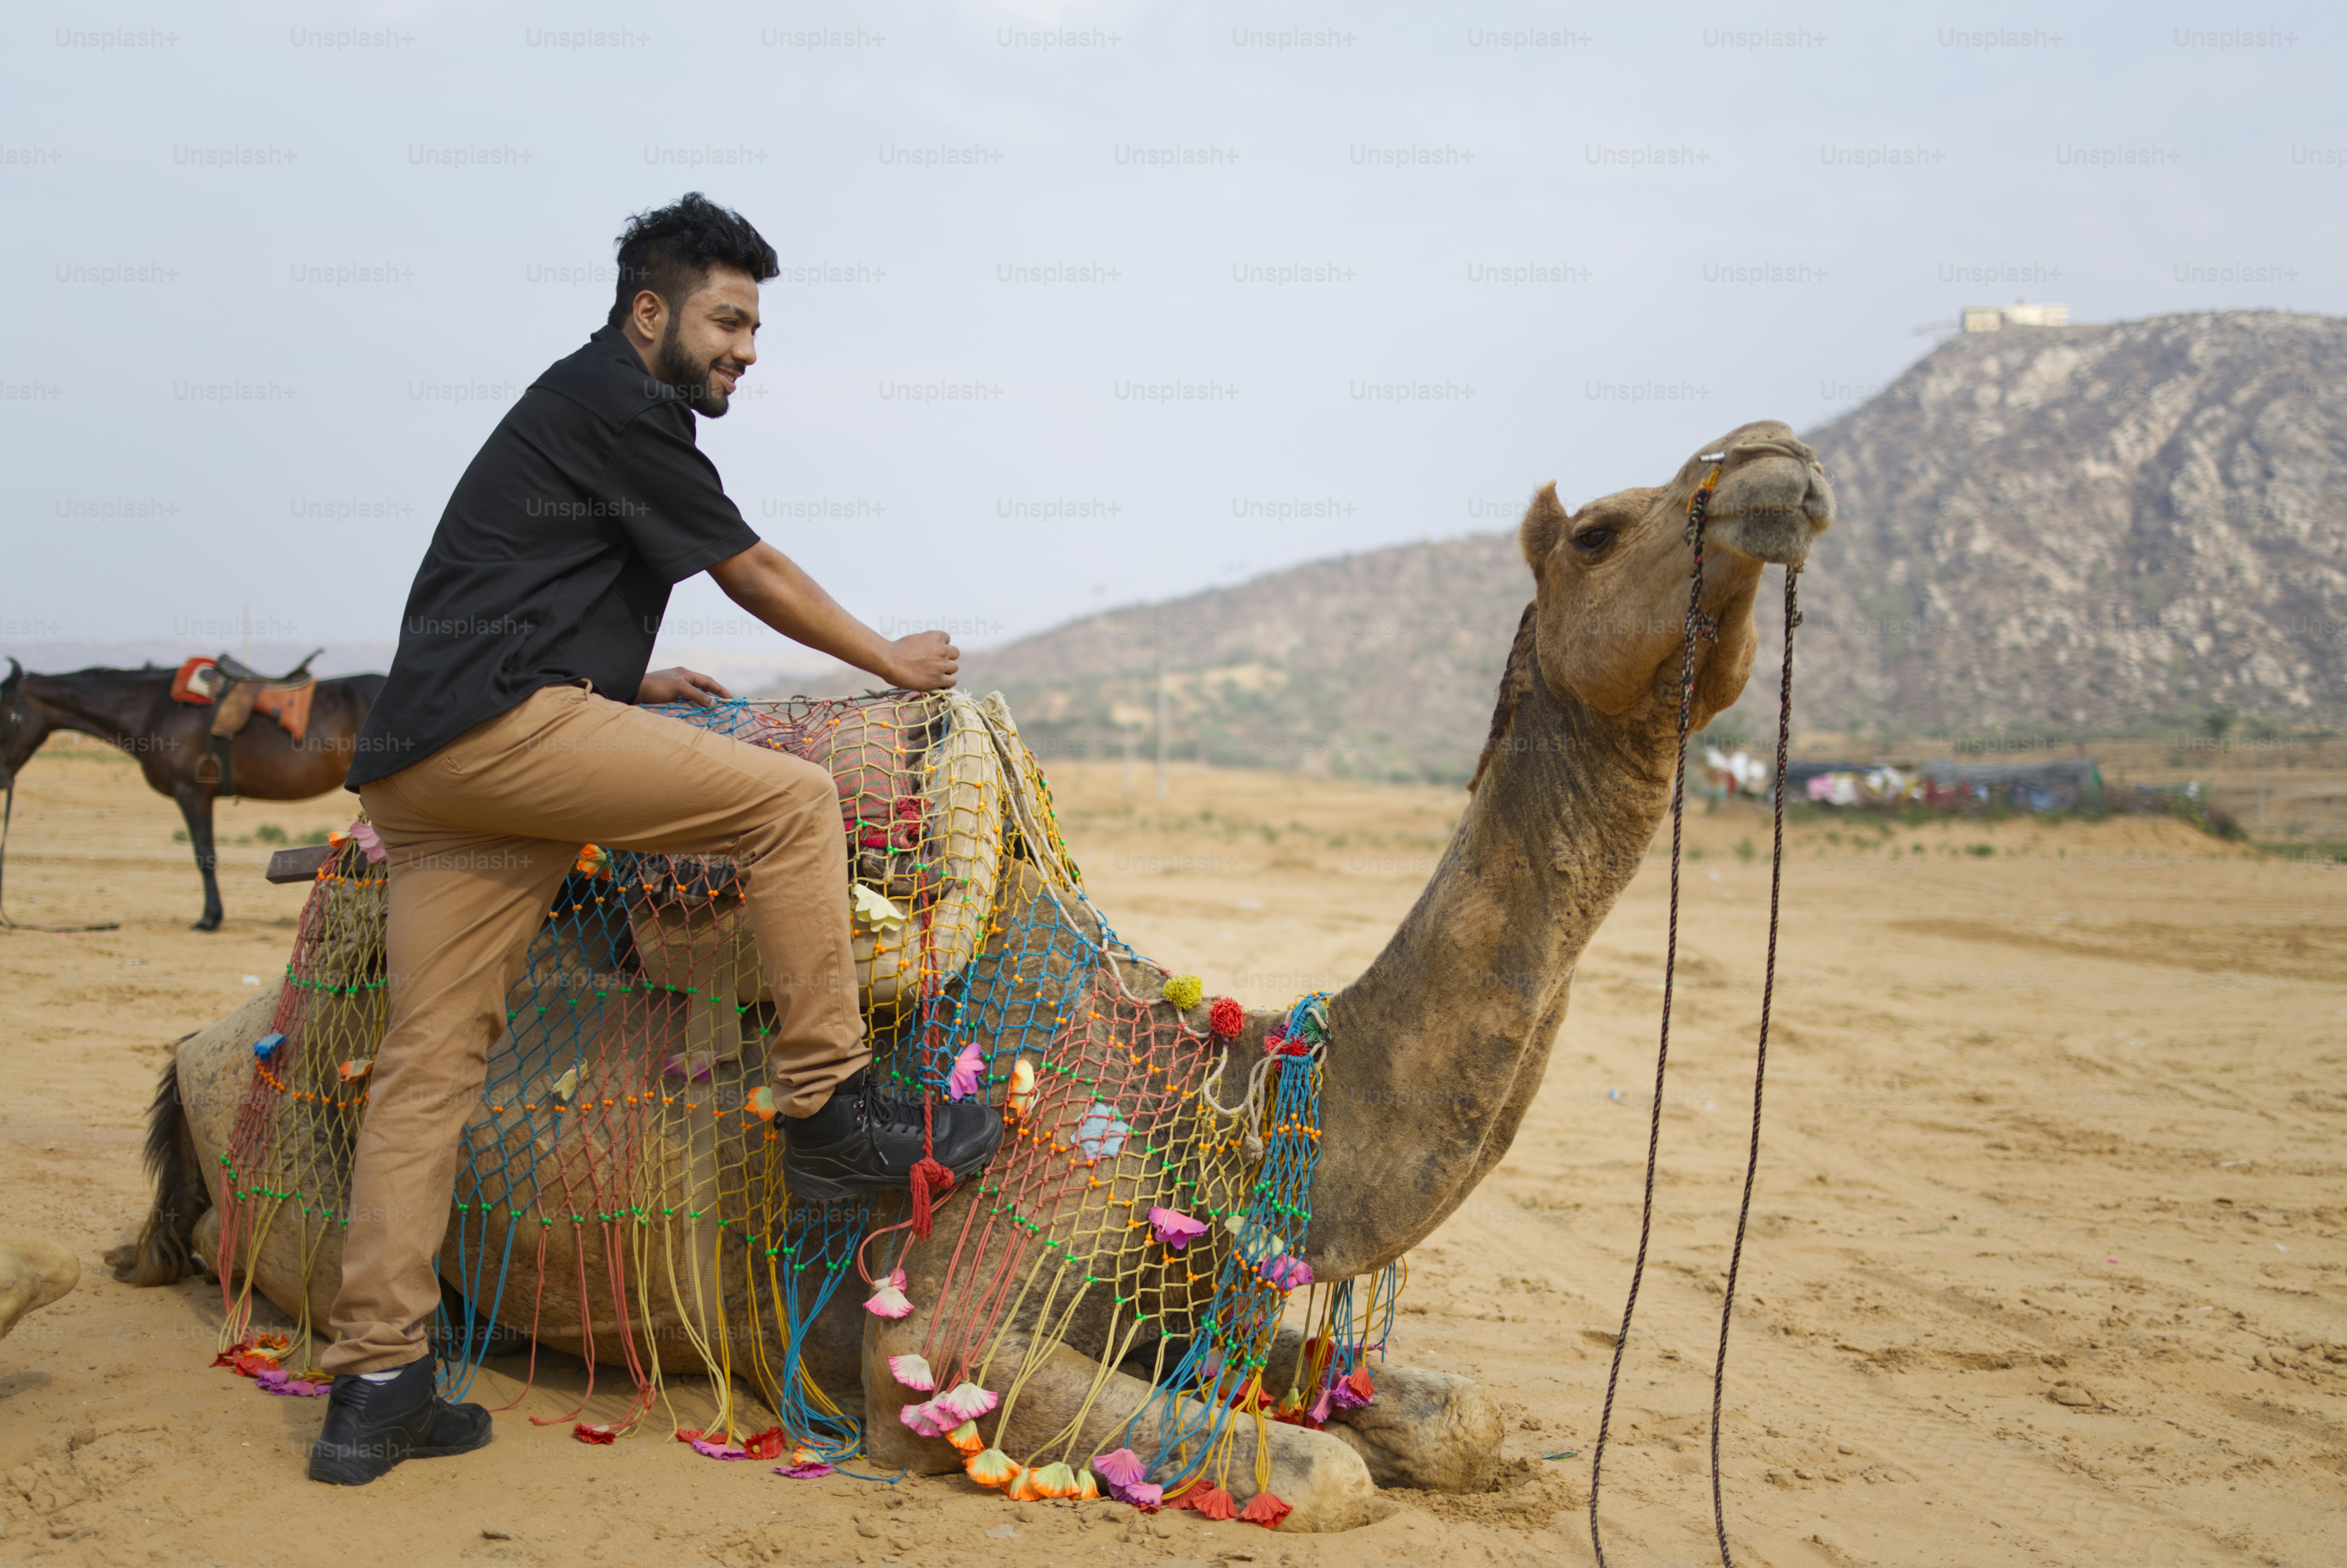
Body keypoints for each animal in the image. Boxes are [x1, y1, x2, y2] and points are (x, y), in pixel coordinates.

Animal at [126, 422, 1831, 1529]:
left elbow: (1451, 1419)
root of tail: (220, 1031)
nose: (1773, 458)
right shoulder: (952, 1329)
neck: (1218, 1079)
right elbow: (1330, 1474)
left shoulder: (1194, 1293)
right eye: (1600, 529)